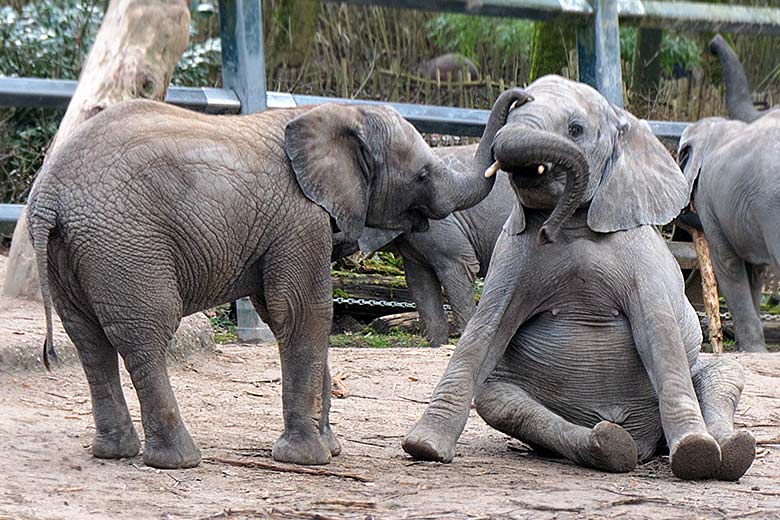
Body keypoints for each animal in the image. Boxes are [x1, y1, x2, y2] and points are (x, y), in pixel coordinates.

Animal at [25, 92, 536, 468]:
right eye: (423, 174)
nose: (523, 96)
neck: (326, 113)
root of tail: (49, 194)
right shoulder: (299, 218)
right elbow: (303, 312)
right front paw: (309, 459)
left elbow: (287, 315)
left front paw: (329, 449)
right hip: (126, 244)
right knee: (145, 336)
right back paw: (180, 461)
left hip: (75, 254)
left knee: (88, 341)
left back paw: (114, 453)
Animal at [402, 77, 756, 484]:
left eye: (576, 129)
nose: (519, 93)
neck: (570, 223)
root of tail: (648, 446)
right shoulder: (511, 257)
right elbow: (483, 332)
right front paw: (424, 449)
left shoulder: (643, 264)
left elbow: (660, 336)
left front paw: (695, 454)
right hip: (518, 403)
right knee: (501, 403)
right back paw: (610, 444)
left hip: (711, 372)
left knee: (724, 373)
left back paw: (732, 452)